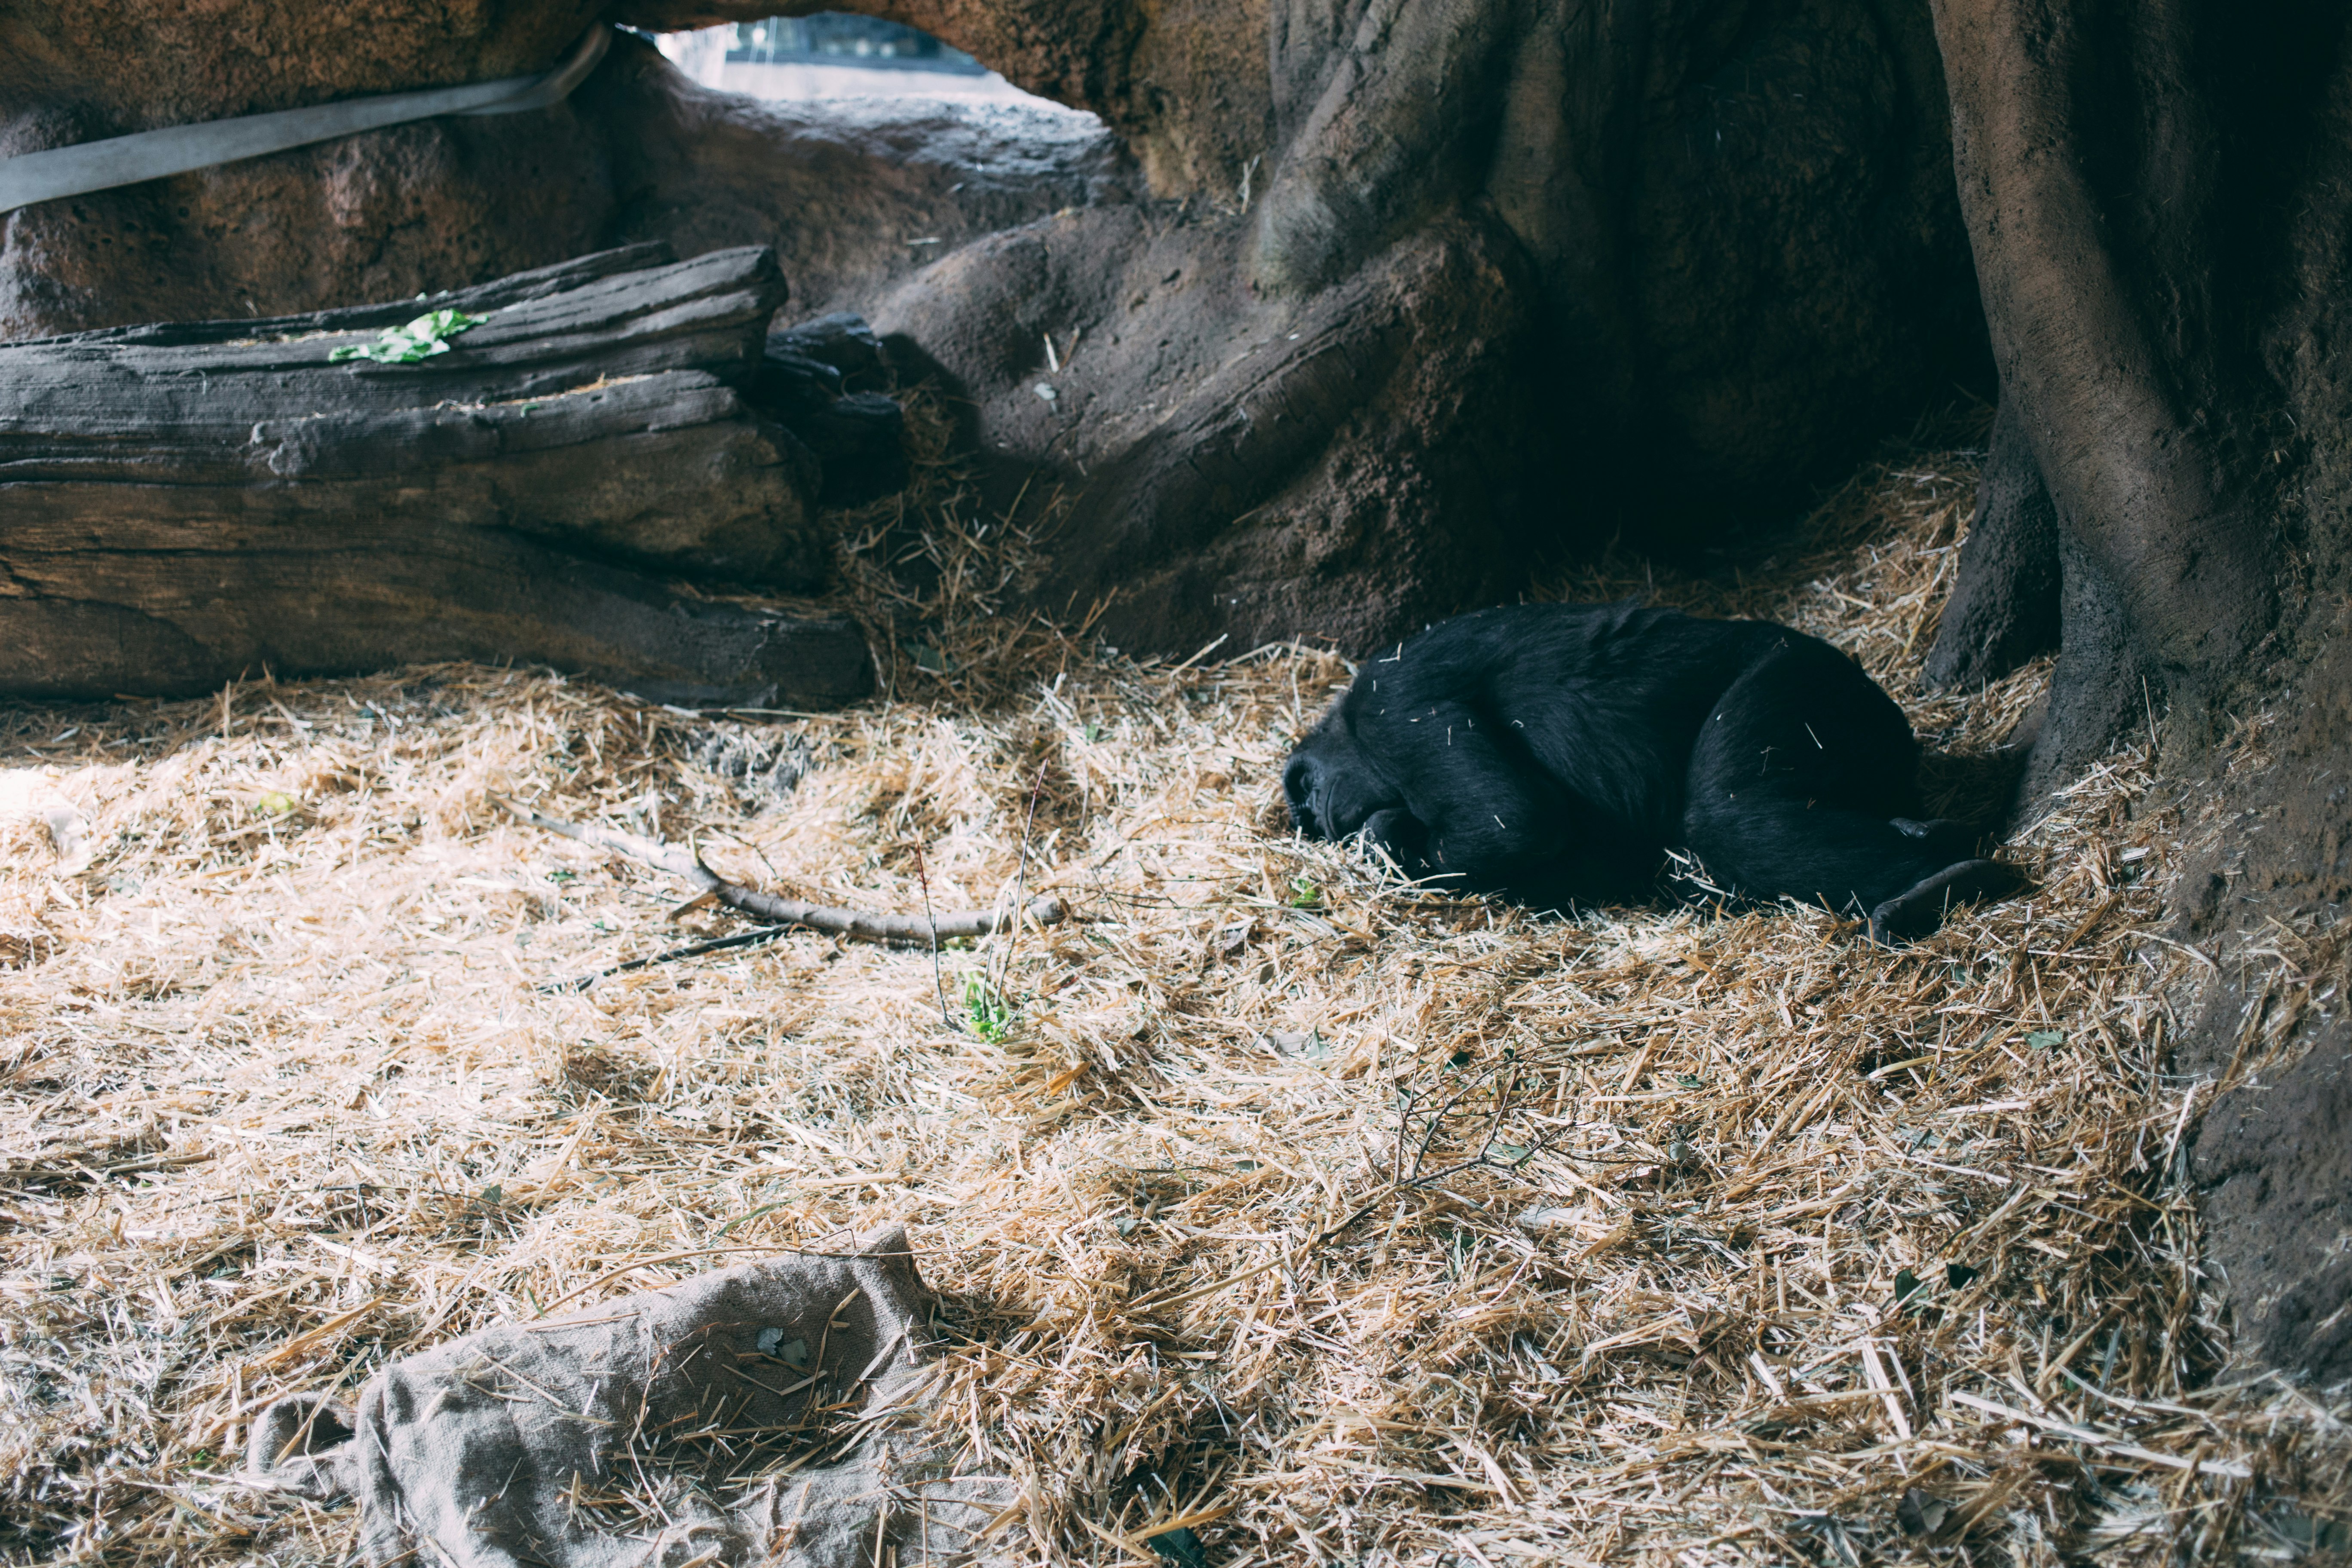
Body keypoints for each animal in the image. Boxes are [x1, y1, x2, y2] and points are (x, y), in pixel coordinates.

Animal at [1289, 602, 2022, 945]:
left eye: (1310, 796)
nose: (1319, 820)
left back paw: (1942, 879)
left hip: (1809, 684)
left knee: (1728, 814)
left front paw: (1385, 836)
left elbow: (1515, 822)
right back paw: (1926, 842)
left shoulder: (1396, 699)